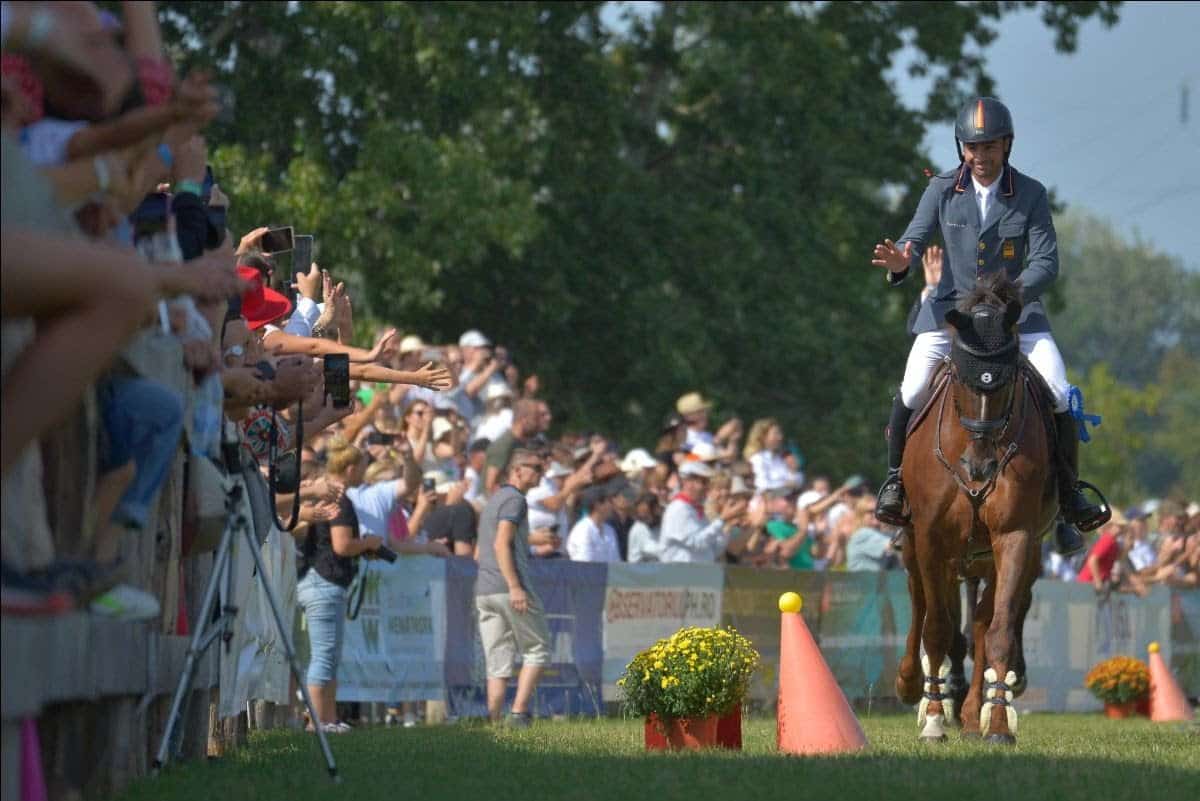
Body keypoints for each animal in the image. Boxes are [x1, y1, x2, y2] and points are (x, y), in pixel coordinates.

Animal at [892, 276, 1060, 743]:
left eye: (1004, 383)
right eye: (964, 381)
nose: (981, 468)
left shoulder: (1016, 538)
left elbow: (998, 630)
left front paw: (997, 721)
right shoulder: (930, 537)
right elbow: (936, 627)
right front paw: (934, 718)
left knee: (984, 622)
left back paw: (975, 709)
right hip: (915, 545)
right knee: (920, 604)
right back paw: (913, 685)